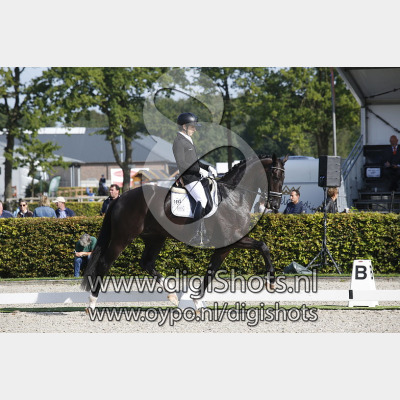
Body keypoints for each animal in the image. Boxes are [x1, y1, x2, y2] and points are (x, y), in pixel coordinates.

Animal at [82, 153, 288, 309]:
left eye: (283, 177)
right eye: (275, 176)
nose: (275, 205)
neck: (233, 196)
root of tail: (119, 198)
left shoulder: (225, 246)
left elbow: (211, 270)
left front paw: (197, 300)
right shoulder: (233, 239)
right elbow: (263, 246)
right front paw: (271, 281)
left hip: (155, 238)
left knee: (147, 263)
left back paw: (173, 296)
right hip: (122, 237)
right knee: (104, 263)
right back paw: (92, 303)